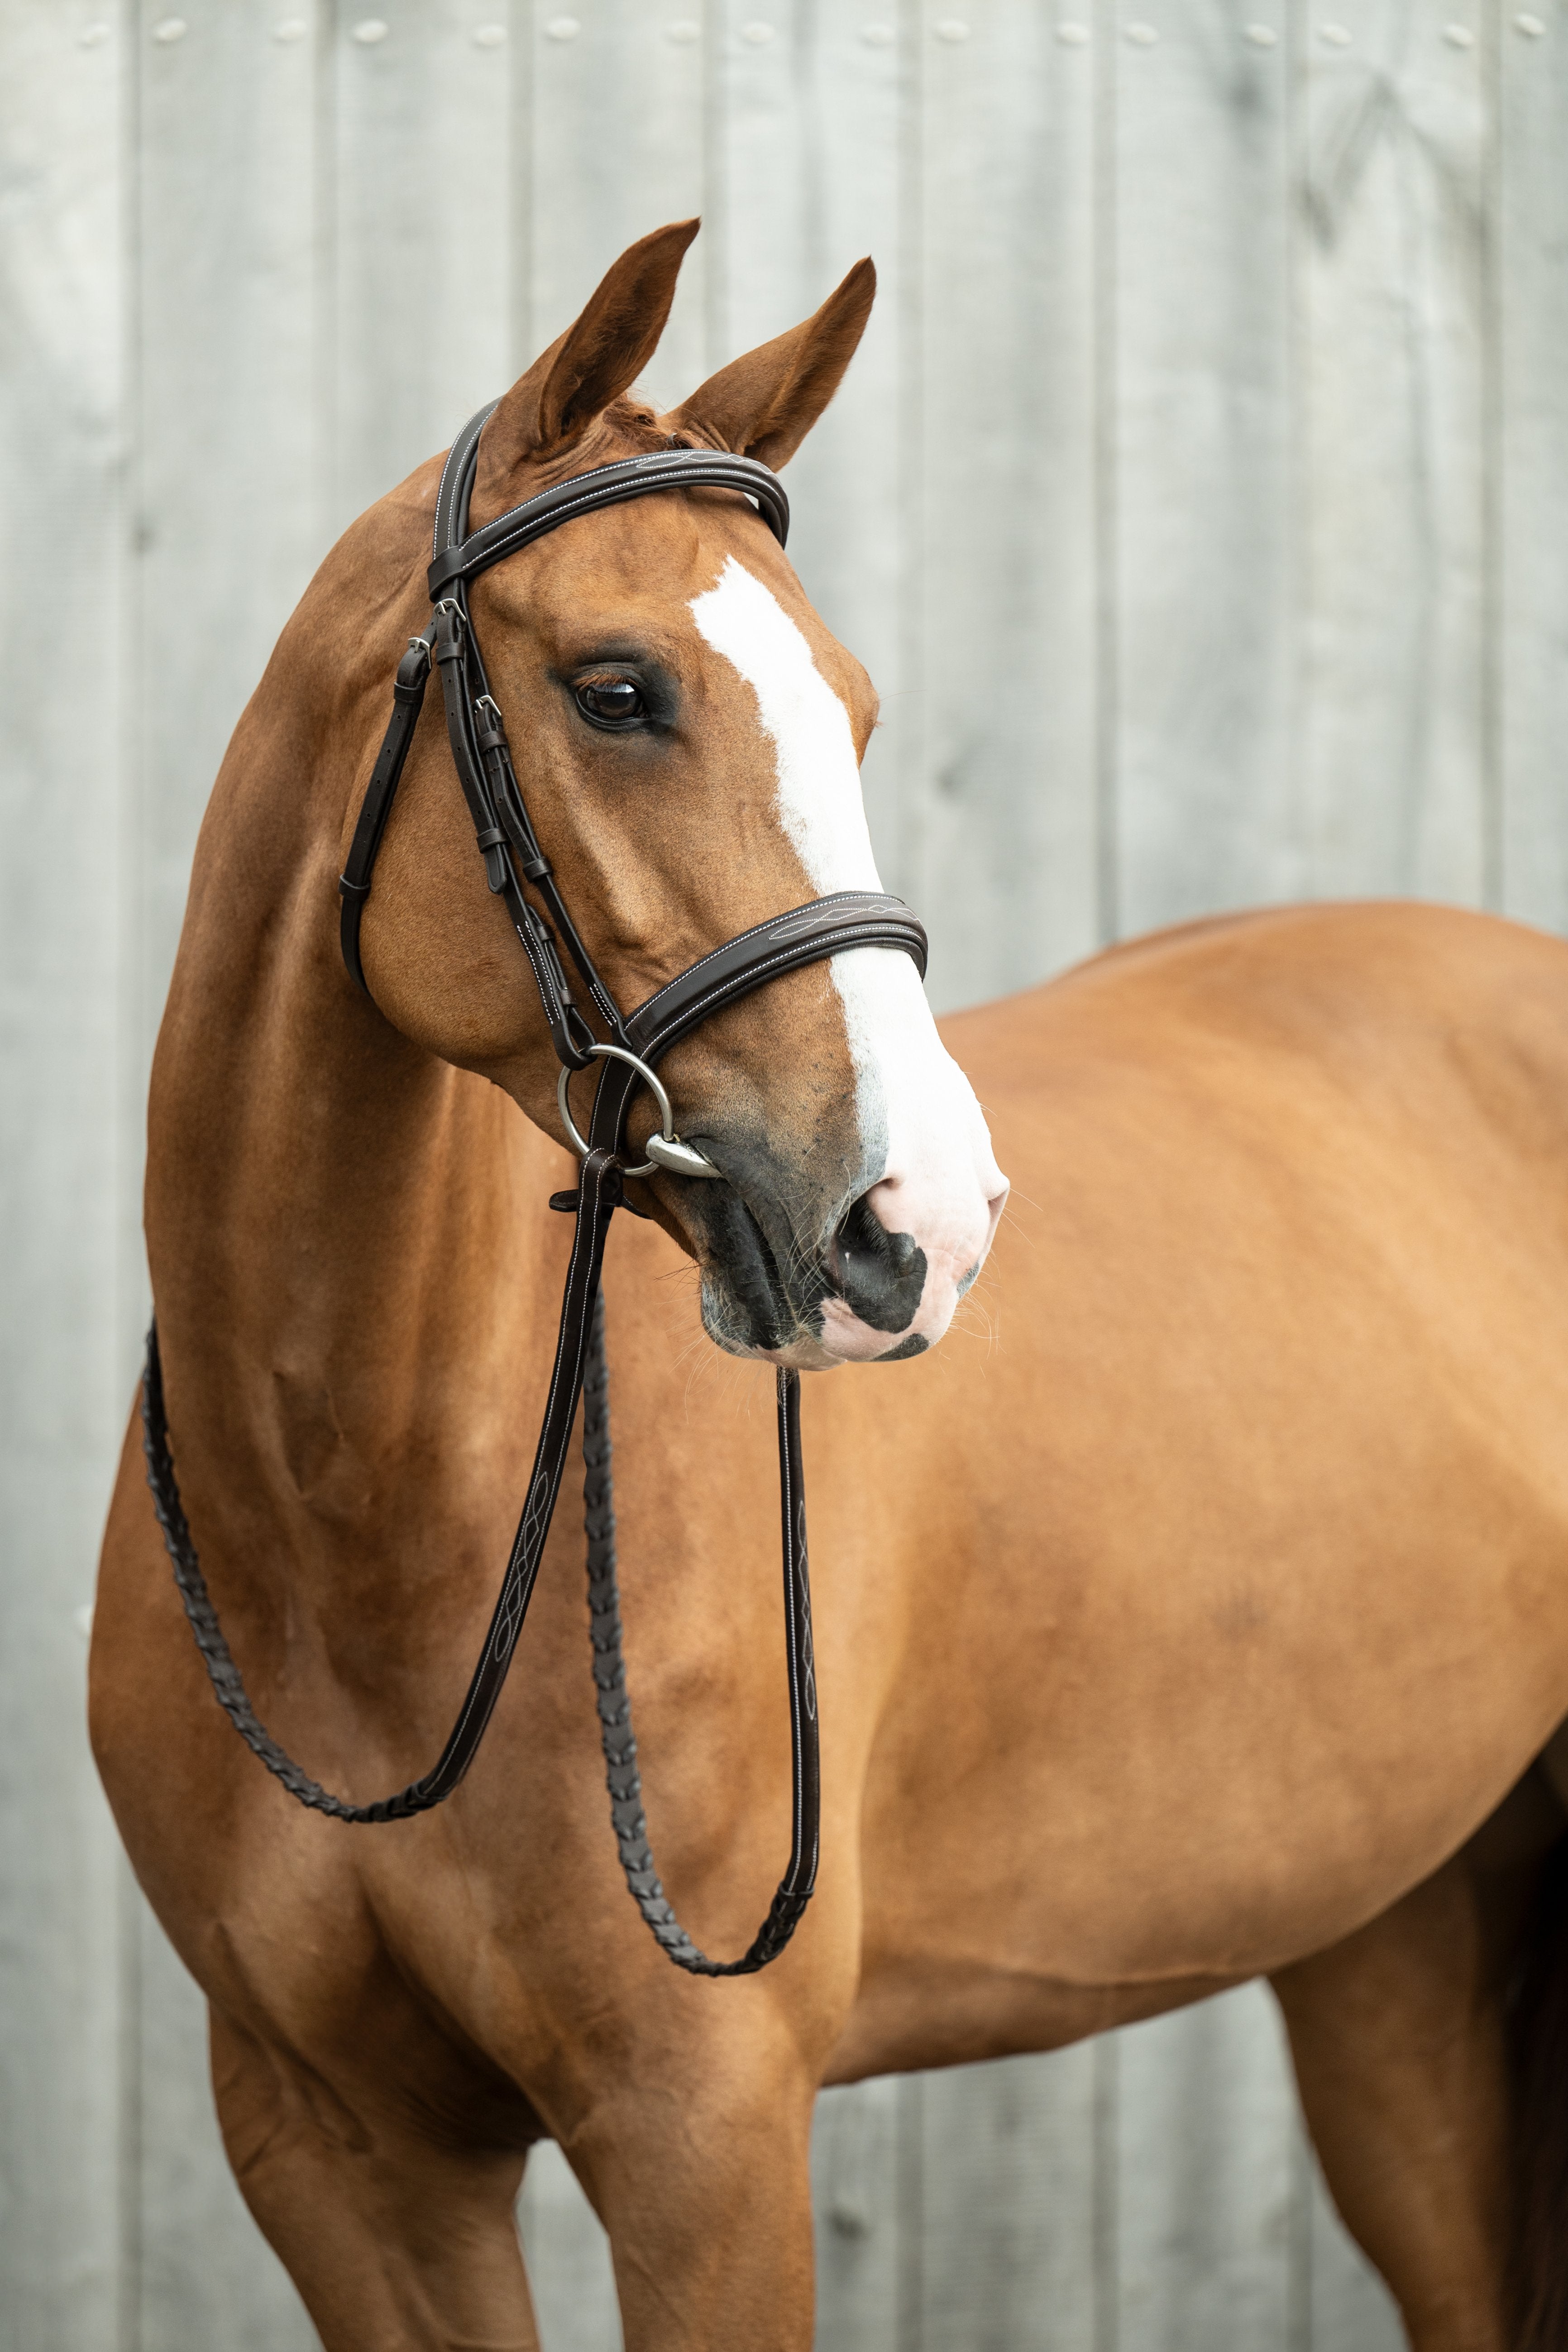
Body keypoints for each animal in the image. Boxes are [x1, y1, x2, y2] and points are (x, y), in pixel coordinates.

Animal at [91, 218, 1568, 2352]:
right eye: (618, 688)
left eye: (856, 712)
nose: (917, 1222)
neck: (366, 1526)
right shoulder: (338, 2152)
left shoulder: (704, 2132)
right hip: (1393, 1935)